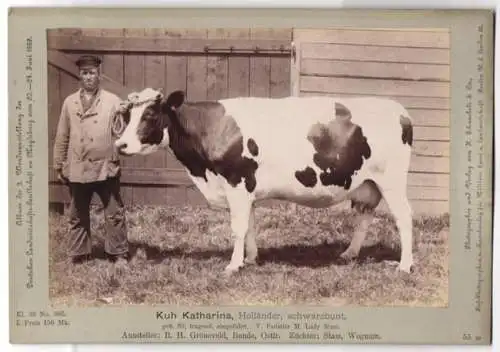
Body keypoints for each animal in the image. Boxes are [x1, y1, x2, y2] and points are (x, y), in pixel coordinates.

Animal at [114, 88, 414, 276]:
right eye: (127, 116)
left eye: (150, 115)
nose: (120, 145)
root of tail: (400, 110)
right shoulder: (247, 188)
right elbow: (249, 226)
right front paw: (250, 259)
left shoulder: (236, 182)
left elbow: (237, 228)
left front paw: (233, 266)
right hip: (368, 184)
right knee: (364, 216)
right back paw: (349, 254)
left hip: (392, 181)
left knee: (404, 218)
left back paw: (404, 265)